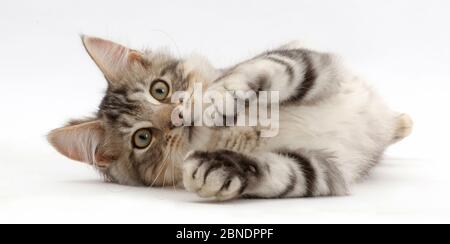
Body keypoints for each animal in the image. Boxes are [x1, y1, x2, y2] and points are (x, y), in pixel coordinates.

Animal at [48, 36, 412, 200]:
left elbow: (269, 68)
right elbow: (283, 173)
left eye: (160, 89)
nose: (178, 117)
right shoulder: (326, 168)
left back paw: (403, 121)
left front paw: (217, 99)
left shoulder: (310, 63)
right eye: (142, 138)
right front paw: (214, 171)